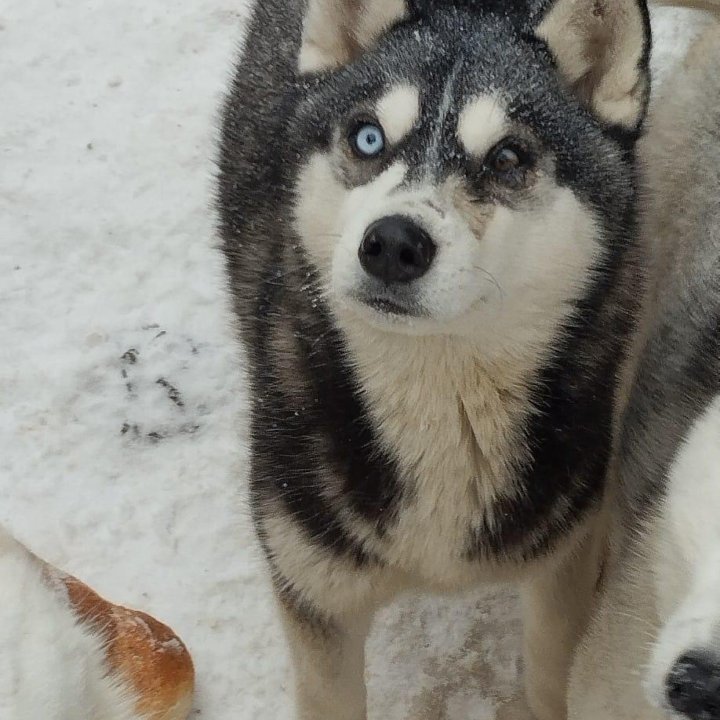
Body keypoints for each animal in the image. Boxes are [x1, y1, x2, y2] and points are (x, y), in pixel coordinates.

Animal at [218, 2, 652, 716]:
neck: (442, 402)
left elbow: (551, 679)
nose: (393, 243)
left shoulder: (565, 560)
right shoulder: (314, 587)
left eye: (508, 157)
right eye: (369, 138)